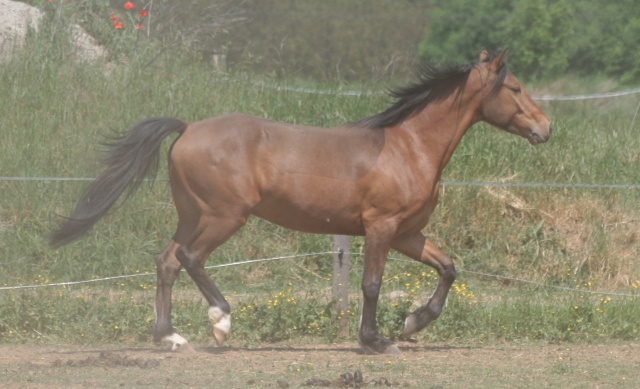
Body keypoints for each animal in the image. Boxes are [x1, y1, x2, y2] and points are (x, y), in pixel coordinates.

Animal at [50, 49, 552, 354]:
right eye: (515, 88)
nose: (545, 129)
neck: (409, 146)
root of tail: (188, 128)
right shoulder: (382, 227)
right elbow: (371, 284)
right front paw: (376, 340)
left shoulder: (408, 233)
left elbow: (448, 269)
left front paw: (413, 322)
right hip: (224, 216)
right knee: (190, 258)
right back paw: (220, 320)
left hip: (193, 215)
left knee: (167, 262)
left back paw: (171, 336)